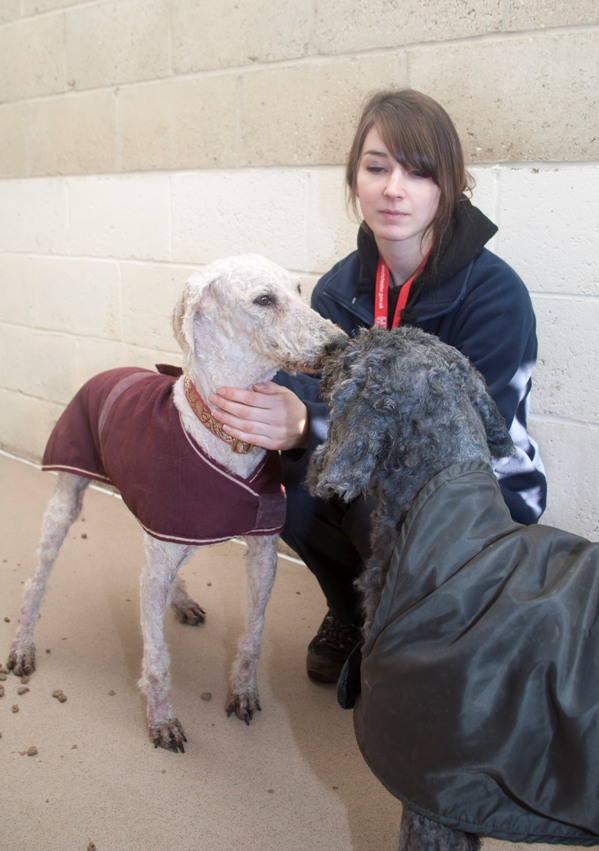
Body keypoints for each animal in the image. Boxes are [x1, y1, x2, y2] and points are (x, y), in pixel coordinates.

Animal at [7, 253, 346, 752]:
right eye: (264, 299)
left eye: (300, 290)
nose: (340, 344)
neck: (225, 432)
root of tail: (106, 372)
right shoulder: (163, 546)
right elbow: (157, 659)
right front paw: (162, 720)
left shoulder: (260, 551)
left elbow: (253, 635)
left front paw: (243, 693)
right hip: (66, 499)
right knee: (36, 581)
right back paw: (22, 646)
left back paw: (180, 599)